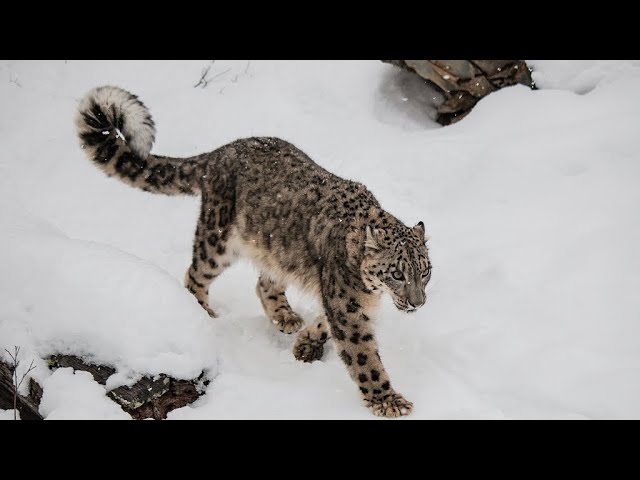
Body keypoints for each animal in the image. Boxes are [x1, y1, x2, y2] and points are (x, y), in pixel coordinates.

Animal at [76, 85, 436, 416]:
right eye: (397, 274)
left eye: (426, 272)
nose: (417, 302)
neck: (370, 293)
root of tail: (221, 151)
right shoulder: (347, 307)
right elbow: (363, 357)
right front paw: (388, 401)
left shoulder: (343, 301)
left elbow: (324, 320)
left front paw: (307, 342)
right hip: (218, 239)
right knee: (195, 274)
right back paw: (203, 314)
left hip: (277, 249)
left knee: (264, 282)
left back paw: (285, 317)